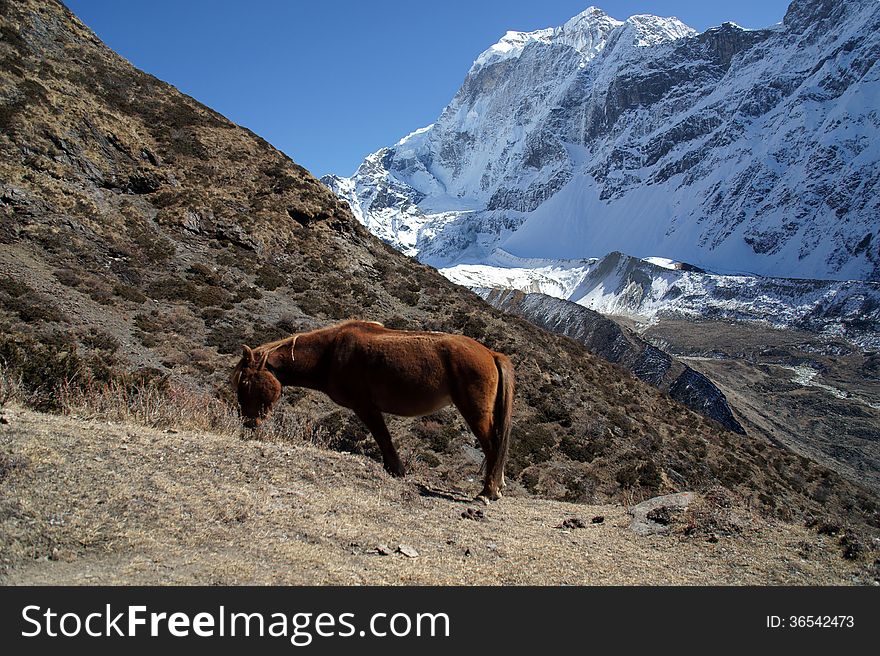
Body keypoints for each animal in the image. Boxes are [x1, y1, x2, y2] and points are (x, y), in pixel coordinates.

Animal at [234, 320, 512, 500]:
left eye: (245, 382)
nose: (248, 423)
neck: (330, 353)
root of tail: (491, 353)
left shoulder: (364, 406)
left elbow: (382, 437)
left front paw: (396, 470)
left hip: (475, 412)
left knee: (492, 446)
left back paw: (488, 491)